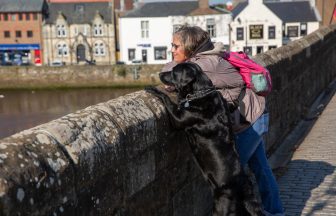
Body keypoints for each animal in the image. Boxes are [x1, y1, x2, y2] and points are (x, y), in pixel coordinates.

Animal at [146, 61, 264, 215]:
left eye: (173, 72)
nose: (159, 74)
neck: (199, 93)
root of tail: (243, 186)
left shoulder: (178, 119)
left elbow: (168, 101)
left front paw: (153, 89)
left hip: (221, 206)